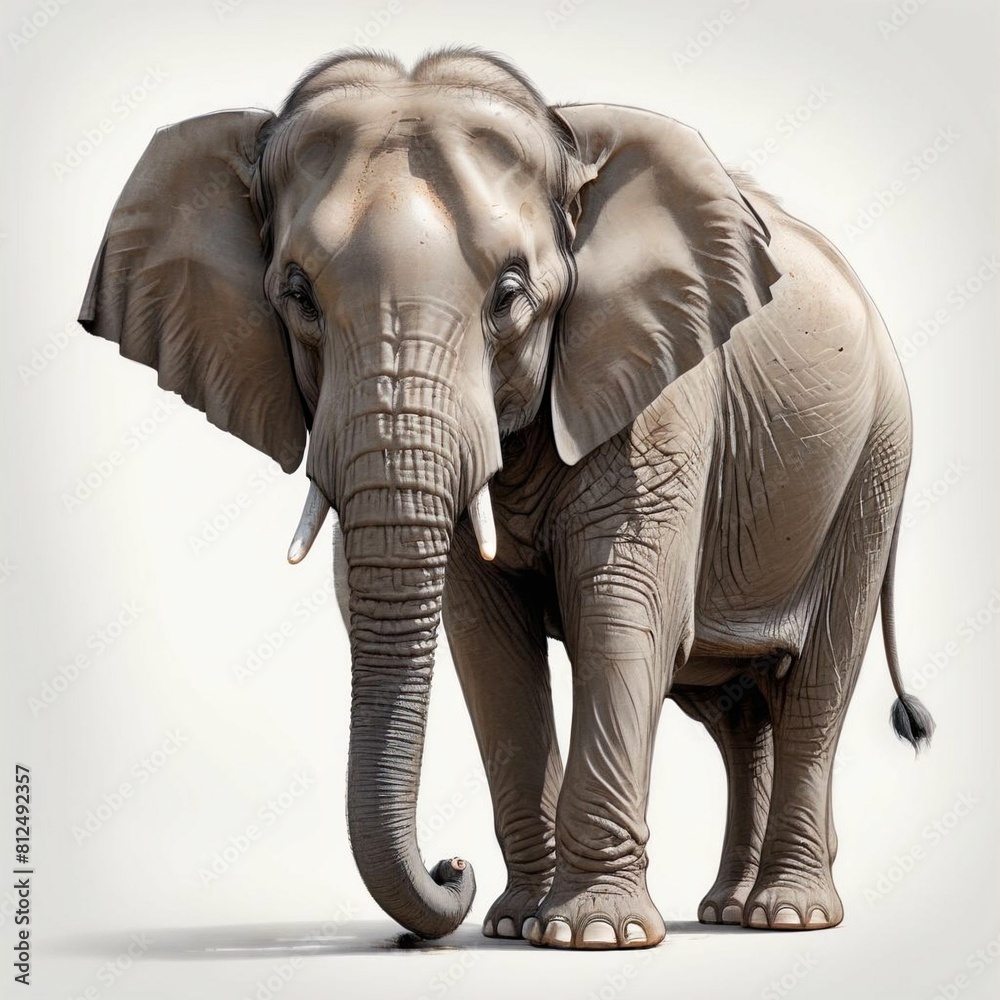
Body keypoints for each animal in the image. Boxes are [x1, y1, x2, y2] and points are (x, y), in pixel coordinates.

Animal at [79, 47, 934, 950]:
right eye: (297, 294)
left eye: (511, 294)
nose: (451, 865)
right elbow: (485, 637)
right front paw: (517, 924)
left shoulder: (660, 389)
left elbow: (619, 609)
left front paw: (592, 936)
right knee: (735, 710)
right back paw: (728, 911)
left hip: (877, 459)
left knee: (816, 683)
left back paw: (787, 916)